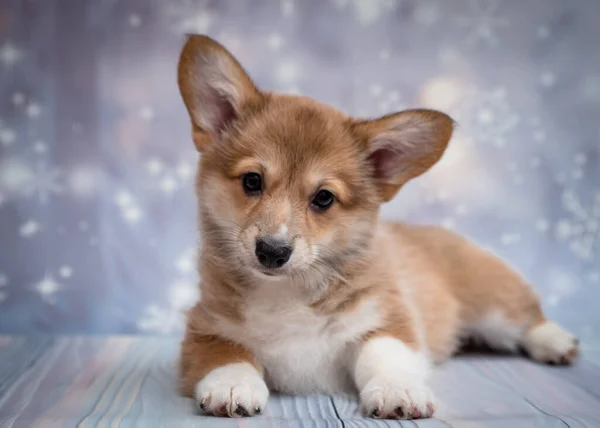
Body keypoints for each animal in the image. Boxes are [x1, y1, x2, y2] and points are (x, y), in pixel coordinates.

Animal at [176, 35, 580, 420]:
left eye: (324, 198)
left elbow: (384, 354)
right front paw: (232, 386)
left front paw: (396, 391)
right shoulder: (205, 327)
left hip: (493, 304)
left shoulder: (387, 318)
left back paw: (556, 342)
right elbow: (226, 354)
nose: (272, 252)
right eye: (252, 181)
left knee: (525, 316)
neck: (287, 291)